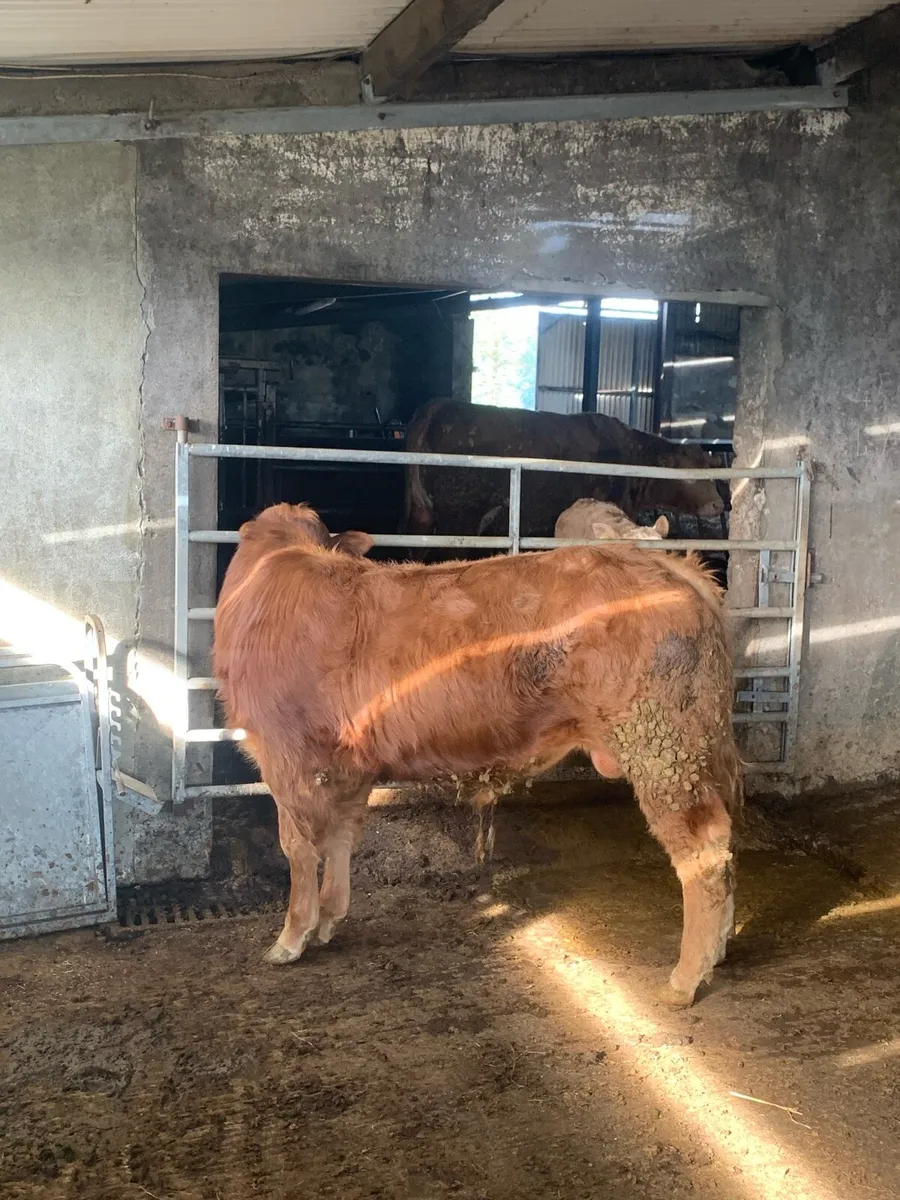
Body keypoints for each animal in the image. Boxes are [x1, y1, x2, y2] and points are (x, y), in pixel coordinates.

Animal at [213, 502, 742, 1008]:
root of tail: (672, 568)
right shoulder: (348, 768)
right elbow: (342, 838)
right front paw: (328, 922)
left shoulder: (286, 757)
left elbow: (298, 848)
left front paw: (290, 938)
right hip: (692, 747)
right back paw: (718, 951)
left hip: (660, 749)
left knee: (703, 851)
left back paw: (685, 978)